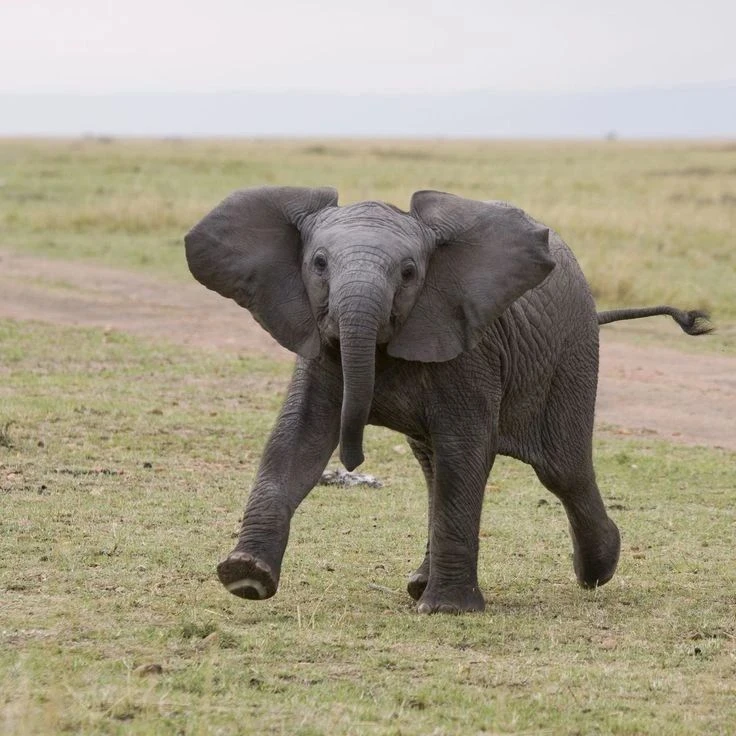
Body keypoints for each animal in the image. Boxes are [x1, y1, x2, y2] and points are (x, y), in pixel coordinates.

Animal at [184, 186, 711, 614]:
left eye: (409, 272)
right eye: (318, 263)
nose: (353, 463)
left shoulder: (469, 348)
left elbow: (465, 452)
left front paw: (448, 610)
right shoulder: (317, 341)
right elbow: (298, 441)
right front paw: (245, 578)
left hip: (573, 355)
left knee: (563, 469)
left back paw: (598, 571)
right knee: (433, 466)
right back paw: (420, 584)